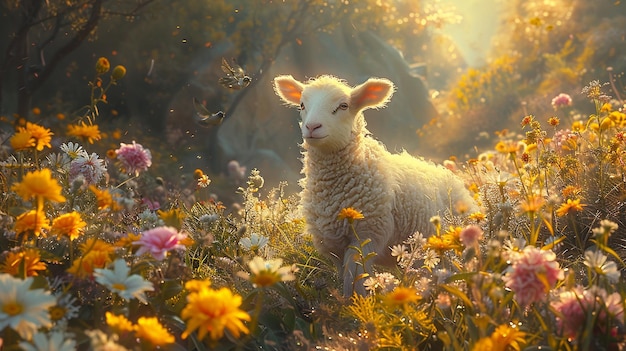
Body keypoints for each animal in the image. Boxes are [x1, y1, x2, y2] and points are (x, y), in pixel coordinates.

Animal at [270, 74, 476, 296]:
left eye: (343, 106)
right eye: (302, 105)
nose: (312, 127)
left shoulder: (367, 236)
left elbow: (356, 280)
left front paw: (359, 303)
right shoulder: (332, 245)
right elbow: (346, 277)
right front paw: (347, 301)